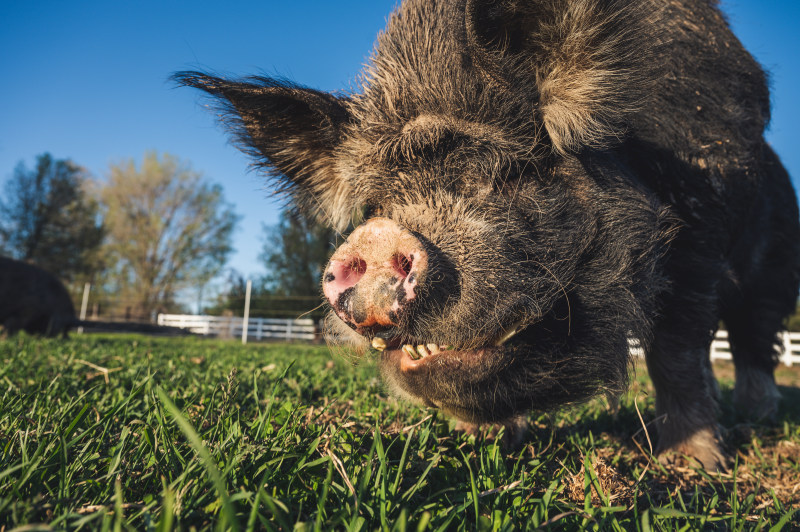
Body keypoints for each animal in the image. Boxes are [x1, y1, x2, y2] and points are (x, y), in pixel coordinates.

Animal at [175, 0, 800, 468]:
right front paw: (477, 442)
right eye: (375, 205)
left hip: (774, 267)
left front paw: (694, 465)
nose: (375, 238)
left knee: (753, 337)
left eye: (506, 173)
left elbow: (676, 350)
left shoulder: (698, 237)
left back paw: (758, 415)